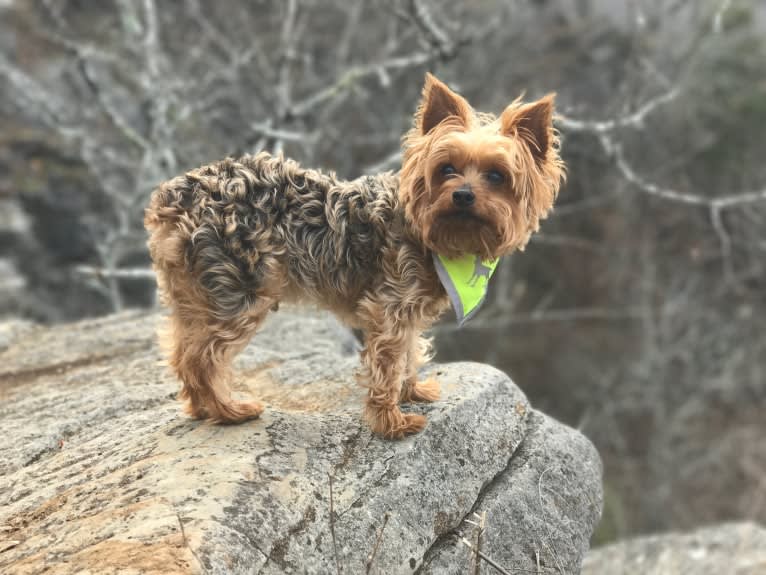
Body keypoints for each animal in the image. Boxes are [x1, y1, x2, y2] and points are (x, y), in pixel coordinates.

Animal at [146, 74, 564, 438]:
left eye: (496, 176)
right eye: (447, 169)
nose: (462, 195)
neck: (437, 237)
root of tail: (173, 197)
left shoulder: (405, 311)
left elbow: (409, 352)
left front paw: (412, 391)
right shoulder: (390, 309)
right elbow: (388, 363)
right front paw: (392, 422)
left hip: (198, 293)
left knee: (182, 352)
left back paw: (201, 409)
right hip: (238, 293)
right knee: (201, 359)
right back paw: (228, 411)